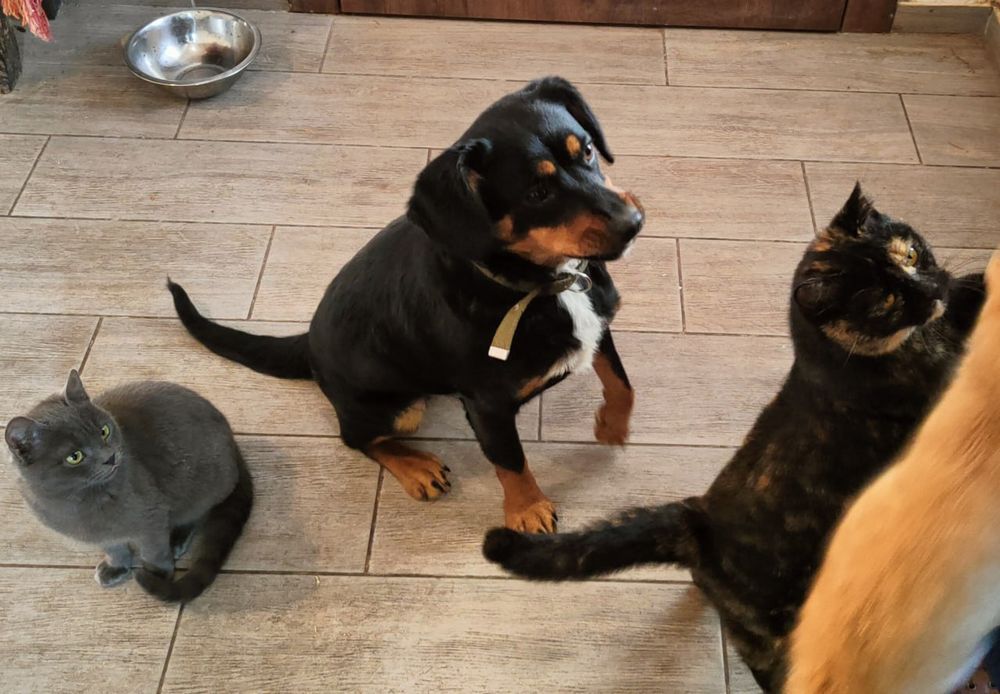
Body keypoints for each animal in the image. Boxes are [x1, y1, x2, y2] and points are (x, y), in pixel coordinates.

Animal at [4, 370, 253, 603]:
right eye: (74, 456)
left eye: (104, 431)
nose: (110, 457)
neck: (79, 502)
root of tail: (233, 442)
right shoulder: (103, 537)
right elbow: (115, 549)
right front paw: (116, 567)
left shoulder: (151, 517)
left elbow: (153, 550)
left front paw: (157, 574)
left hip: (203, 486)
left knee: (197, 513)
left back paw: (177, 539)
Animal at [168, 77, 645, 533]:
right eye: (537, 193)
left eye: (587, 150)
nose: (634, 223)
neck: (535, 286)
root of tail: (307, 342)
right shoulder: (487, 406)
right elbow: (510, 462)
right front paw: (527, 511)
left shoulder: (598, 327)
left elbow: (622, 384)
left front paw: (612, 426)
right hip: (399, 408)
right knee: (356, 437)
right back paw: (417, 468)